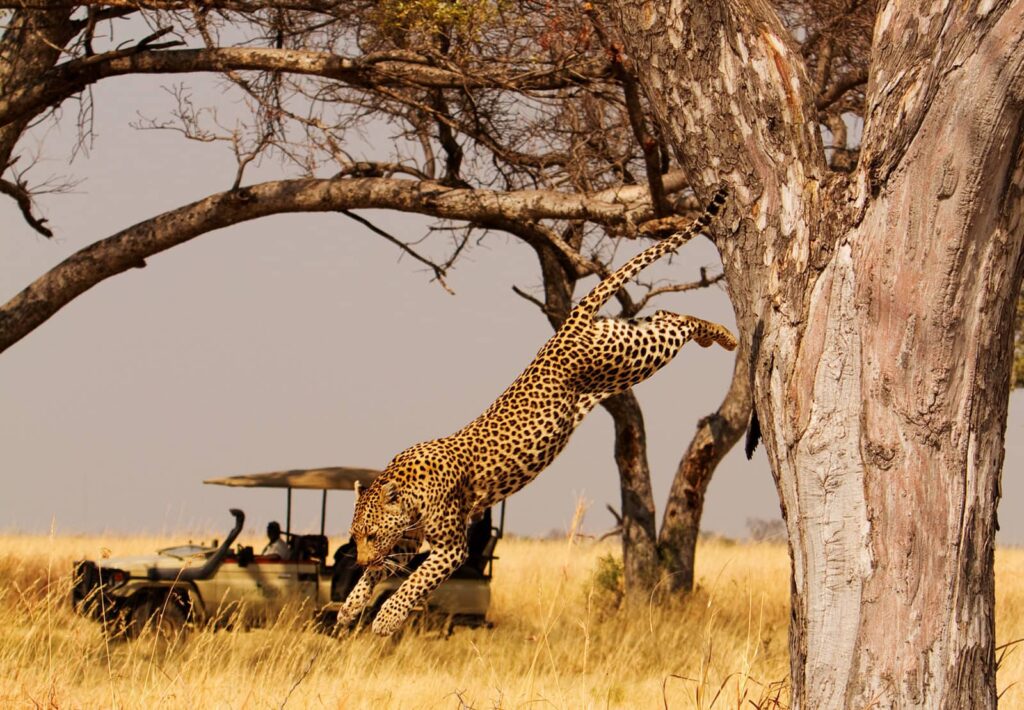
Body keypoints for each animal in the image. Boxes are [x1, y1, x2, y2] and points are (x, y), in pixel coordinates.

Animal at [342, 186, 736, 636]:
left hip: (630, 357)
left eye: (371, 534)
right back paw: (719, 335)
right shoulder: (410, 539)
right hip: (627, 341)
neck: (408, 490)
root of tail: (567, 325)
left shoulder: (451, 547)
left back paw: (725, 336)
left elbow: (413, 583)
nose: (357, 557)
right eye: (355, 536)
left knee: (676, 322)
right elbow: (382, 573)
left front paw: (386, 618)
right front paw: (351, 605)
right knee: (665, 314)